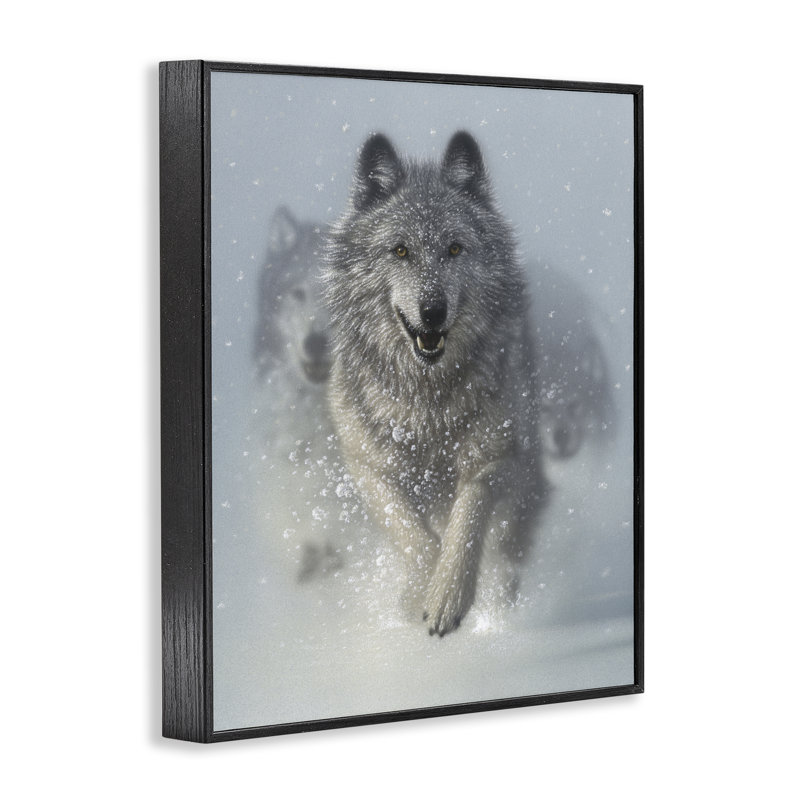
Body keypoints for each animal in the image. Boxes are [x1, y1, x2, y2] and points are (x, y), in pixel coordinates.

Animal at [324, 131, 546, 636]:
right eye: (400, 251)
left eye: (455, 249)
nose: (432, 311)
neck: (425, 404)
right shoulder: (367, 467)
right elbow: (412, 533)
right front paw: (419, 593)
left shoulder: (498, 456)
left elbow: (468, 516)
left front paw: (448, 596)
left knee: (506, 549)